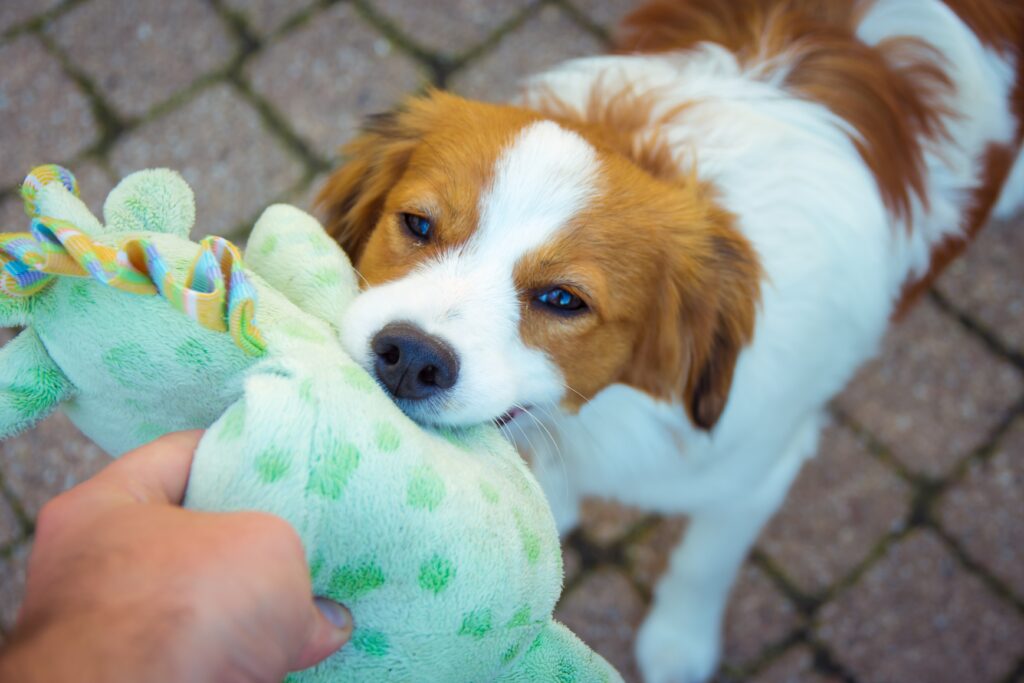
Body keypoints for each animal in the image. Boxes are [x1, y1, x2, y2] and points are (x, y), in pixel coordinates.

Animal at [315, 2, 1019, 679]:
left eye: (563, 300)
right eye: (417, 224)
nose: (410, 358)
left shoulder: (758, 470)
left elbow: (703, 563)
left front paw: (679, 643)